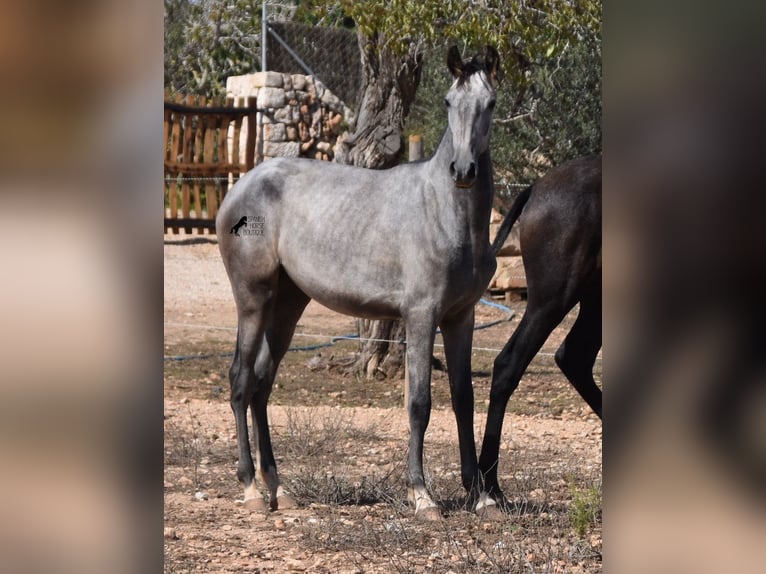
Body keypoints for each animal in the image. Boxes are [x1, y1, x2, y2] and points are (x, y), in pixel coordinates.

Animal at [218, 46, 504, 520]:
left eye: (491, 103)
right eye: (448, 101)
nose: (463, 169)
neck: (445, 212)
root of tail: (241, 187)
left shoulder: (460, 318)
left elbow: (463, 399)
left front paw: (480, 495)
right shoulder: (421, 316)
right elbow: (419, 403)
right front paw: (422, 495)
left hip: (288, 305)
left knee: (261, 382)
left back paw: (280, 488)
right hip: (253, 299)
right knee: (241, 380)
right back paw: (251, 490)